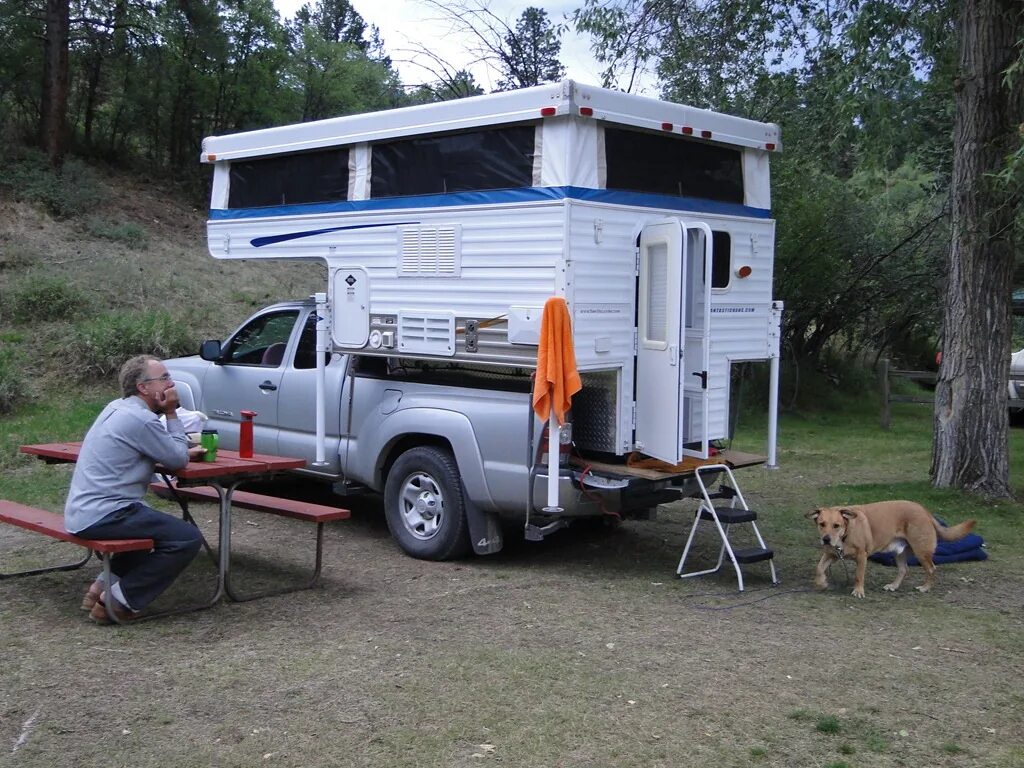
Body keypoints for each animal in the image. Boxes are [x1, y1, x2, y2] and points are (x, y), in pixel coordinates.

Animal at [806, 505, 974, 602]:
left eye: (836, 525)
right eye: (822, 524)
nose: (826, 539)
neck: (846, 532)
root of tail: (925, 511)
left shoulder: (861, 556)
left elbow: (858, 576)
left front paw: (858, 591)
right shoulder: (831, 554)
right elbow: (819, 568)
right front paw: (822, 583)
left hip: (921, 551)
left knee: (932, 569)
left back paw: (925, 588)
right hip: (898, 552)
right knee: (904, 569)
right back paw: (893, 586)